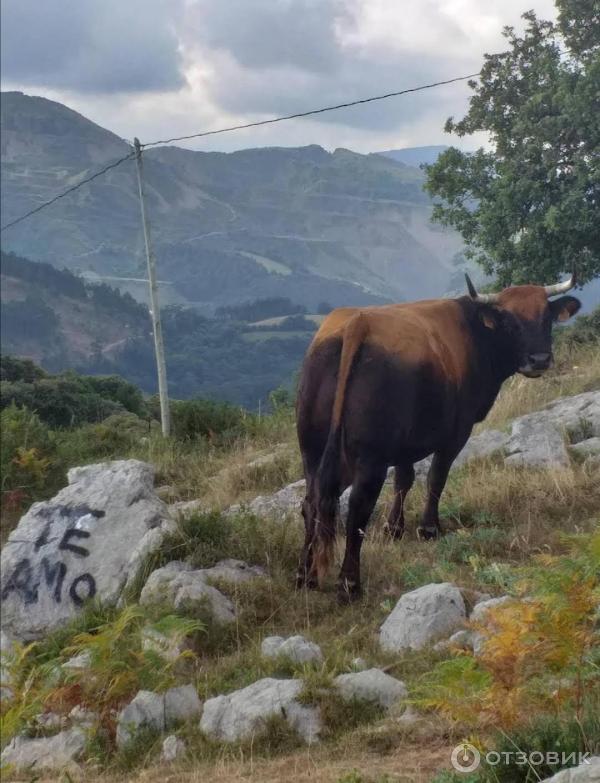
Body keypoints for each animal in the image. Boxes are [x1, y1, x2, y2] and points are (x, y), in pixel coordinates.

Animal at [296, 274, 580, 600]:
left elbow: (404, 480)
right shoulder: (456, 432)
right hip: (370, 458)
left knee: (312, 502)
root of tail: (357, 322)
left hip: (312, 451)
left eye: (546, 317)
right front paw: (428, 529)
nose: (539, 359)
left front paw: (394, 529)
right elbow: (436, 478)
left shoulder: (404, 443)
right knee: (357, 508)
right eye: (509, 322)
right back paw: (349, 585)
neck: (476, 333)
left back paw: (305, 576)